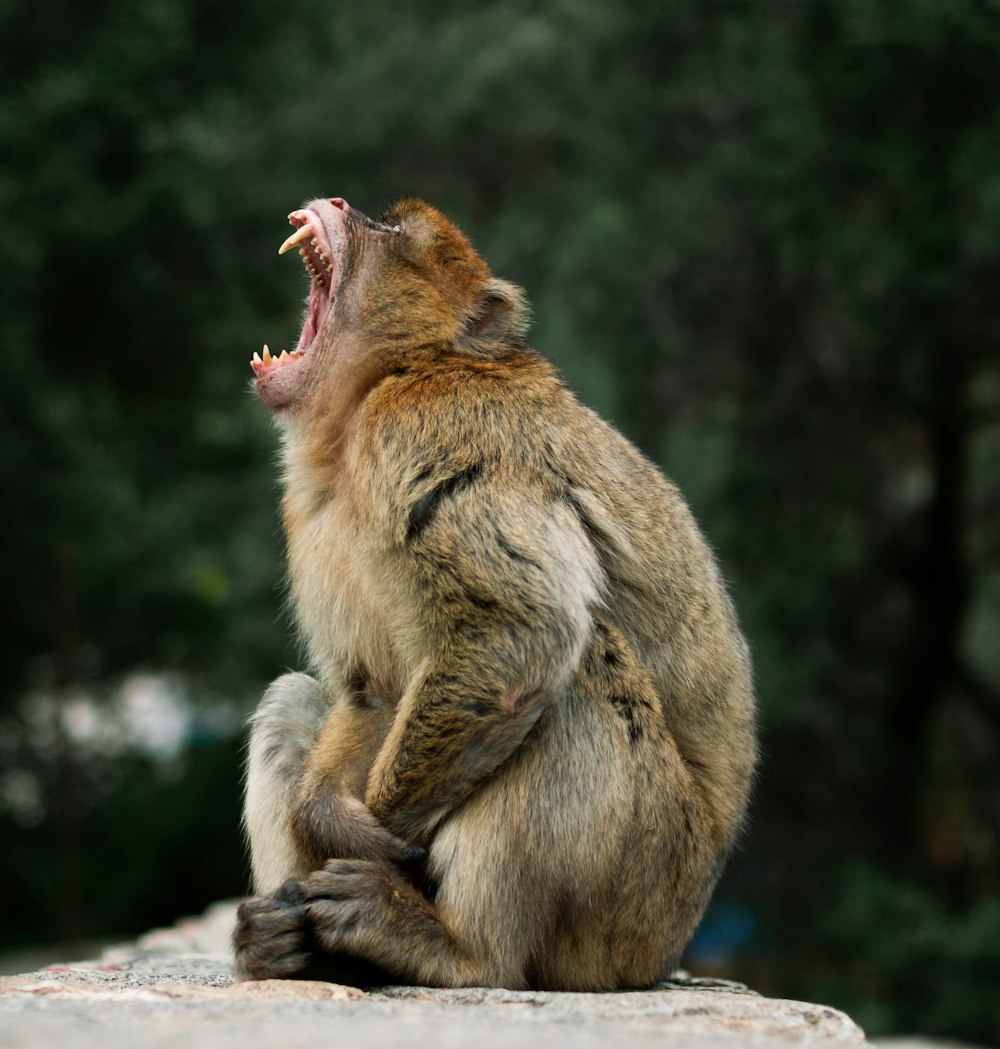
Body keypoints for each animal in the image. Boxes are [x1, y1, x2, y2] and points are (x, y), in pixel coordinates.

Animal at [229, 197, 751, 990]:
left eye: (387, 230)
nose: (341, 205)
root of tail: (674, 942)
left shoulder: (428, 428)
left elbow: (517, 634)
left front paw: (377, 856)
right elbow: (372, 688)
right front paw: (328, 821)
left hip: (638, 896)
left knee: (576, 670)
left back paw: (457, 947)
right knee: (294, 699)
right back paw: (288, 948)